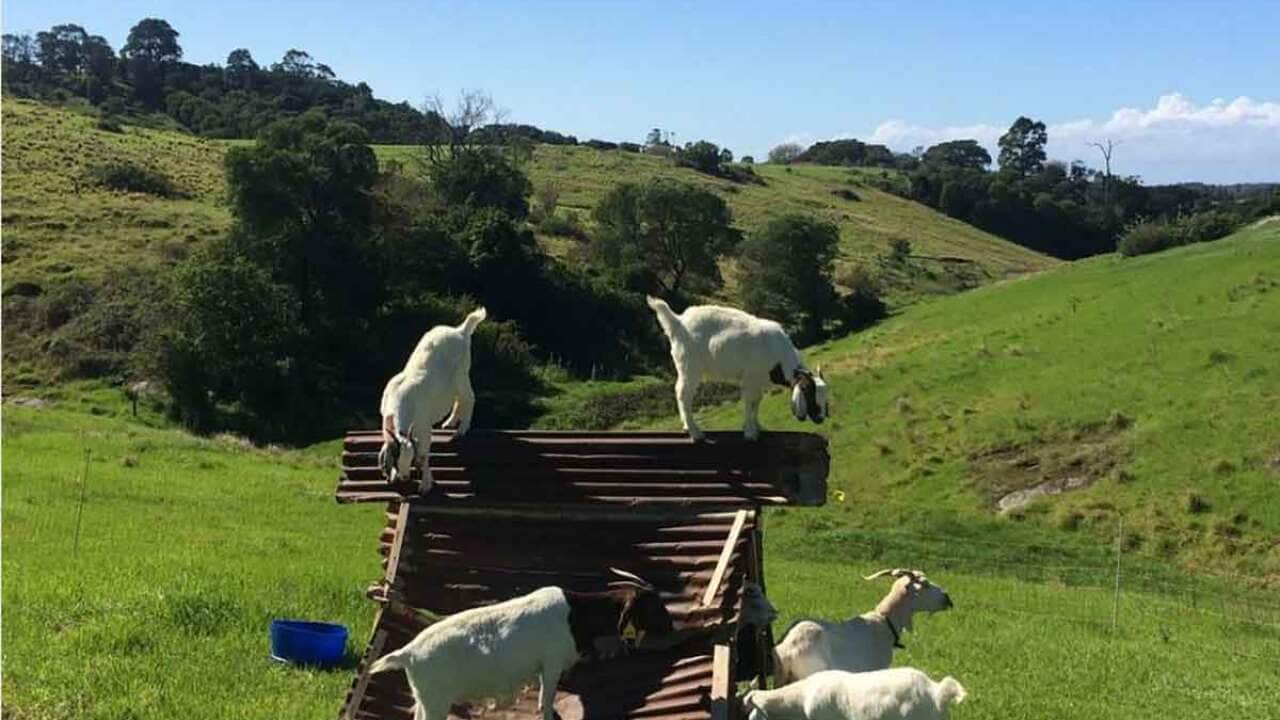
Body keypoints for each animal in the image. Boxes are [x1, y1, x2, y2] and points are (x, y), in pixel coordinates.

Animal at [367, 570, 674, 720]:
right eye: (654, 605)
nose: (671, 627)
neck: (575, 612)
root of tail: (408, 653)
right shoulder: (551, 665)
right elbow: (545, 702)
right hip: (436, 702)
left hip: (424, 699)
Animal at [379, 307, 486, 494]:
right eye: (397, 456)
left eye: (410, 458)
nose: (405, 477)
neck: (401, 400)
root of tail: (461, 330)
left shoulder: (423, 427)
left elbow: (423, 455)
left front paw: (425, 485)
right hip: (451, 384)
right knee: (457, 399)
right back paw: (449, 422)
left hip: (462, 374)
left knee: (469, 397)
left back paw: (462, 429)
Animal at [646, 297, 829, 441]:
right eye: (809, 393)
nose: (821, 418)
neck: (778, 357)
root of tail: (678, 321)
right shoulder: (749, 379)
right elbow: (749, 403)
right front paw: (750, 433)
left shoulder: (757, 382)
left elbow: (756, 403)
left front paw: (757, 426)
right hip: (689, 367)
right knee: (683, 394)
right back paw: (695, 432)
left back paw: (686, 426)